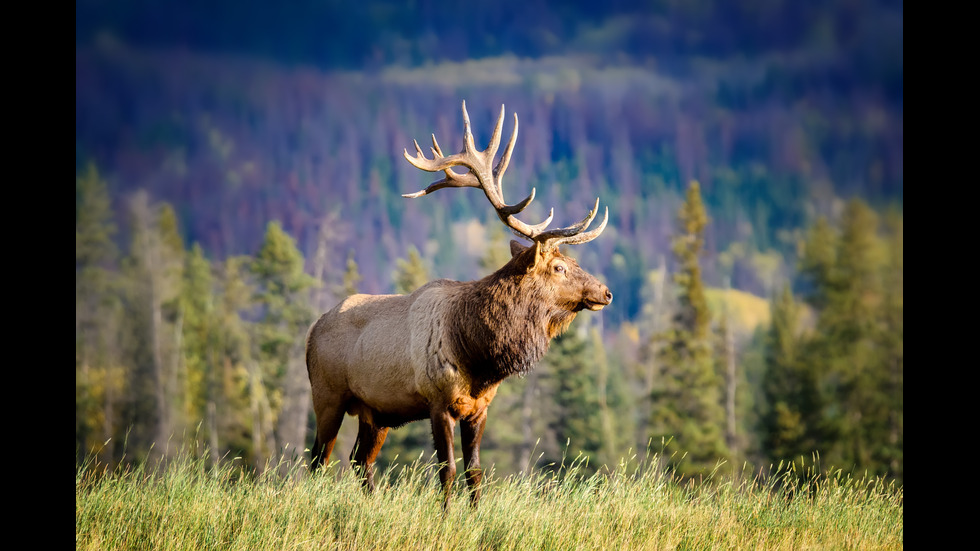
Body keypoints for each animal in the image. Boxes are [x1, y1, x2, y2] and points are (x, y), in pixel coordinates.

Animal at [306, 100, 612, 508]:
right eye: (560, 267)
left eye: (574, 261)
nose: (606, 292)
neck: (477, 355)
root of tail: (312, 331)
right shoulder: (437, 400)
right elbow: (447, 469)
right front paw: (446, 515)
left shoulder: (478, 407)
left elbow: (475, 471)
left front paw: (476, 512)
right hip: (327, 395)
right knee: (317, 459)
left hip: (376, 412)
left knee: (359, 460)